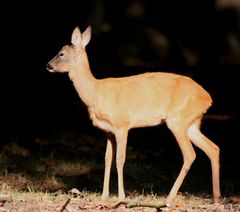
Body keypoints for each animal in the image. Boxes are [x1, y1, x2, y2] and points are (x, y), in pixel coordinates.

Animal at [46, 25, 221, 205]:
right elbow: (107, 159)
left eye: (61, 53)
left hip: (177, 120)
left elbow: (120, 158)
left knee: (190, 154)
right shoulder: (108, 130)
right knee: (213, 148)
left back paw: (170, 197)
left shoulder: (122, 124)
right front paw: (104, 195)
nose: (48, 65)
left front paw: (121, 196)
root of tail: (207, 98)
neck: (96, 93)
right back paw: (216, 198)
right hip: (191, 123)